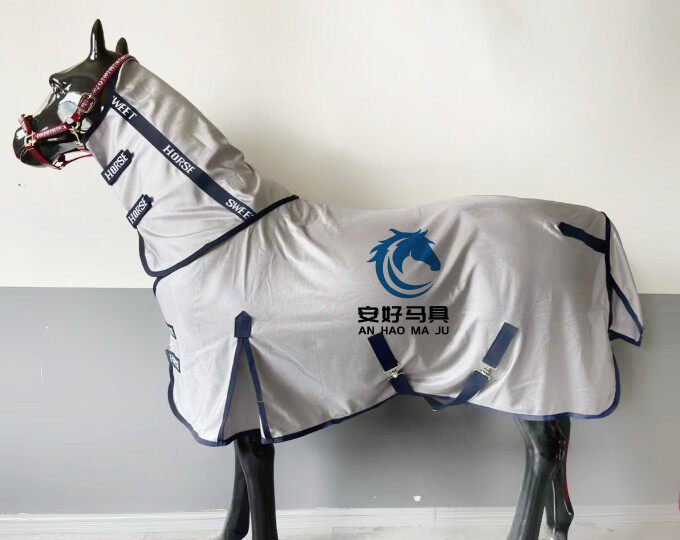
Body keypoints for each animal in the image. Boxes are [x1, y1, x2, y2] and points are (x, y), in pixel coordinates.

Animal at [12, 21, 643, 540]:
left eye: (57, 82)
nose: (20, 142)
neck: (217, 231)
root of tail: (579, 223)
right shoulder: (235, 401)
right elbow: (236, 509)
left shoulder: (243, 393)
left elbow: (259, 513)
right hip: (551, 388)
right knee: (558, 476)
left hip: (522, 379)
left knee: (541, 456)